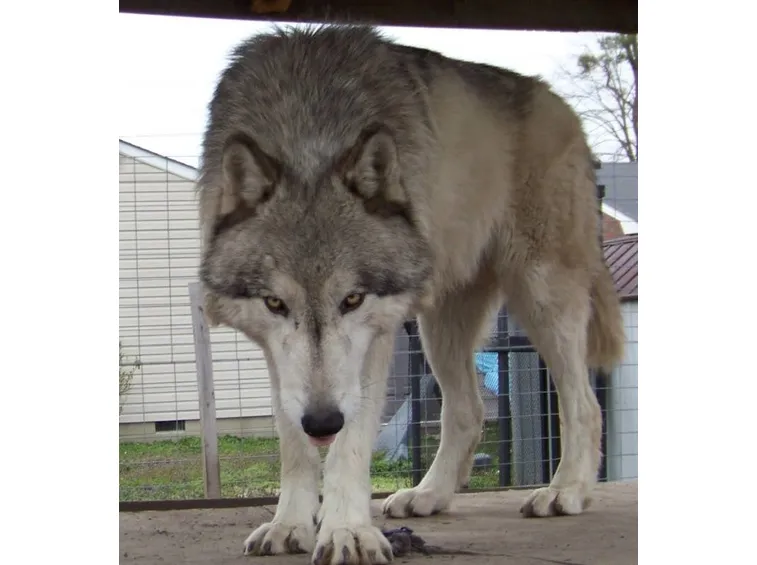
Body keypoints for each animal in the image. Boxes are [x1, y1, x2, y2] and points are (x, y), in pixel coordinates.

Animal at [197, 24, 625, 565]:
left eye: (352, 300)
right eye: (276, 304)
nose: (323, 420)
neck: (309, 131)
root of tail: (563, 106)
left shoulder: (376, 336)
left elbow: (350, 447)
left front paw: (347, 532)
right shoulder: (278, 353)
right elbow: (292, 441)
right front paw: (289, 523)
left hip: (542, 298)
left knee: (584, 405)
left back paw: (565, 491)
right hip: (437, 326)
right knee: (469, 411)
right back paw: (429, 494)